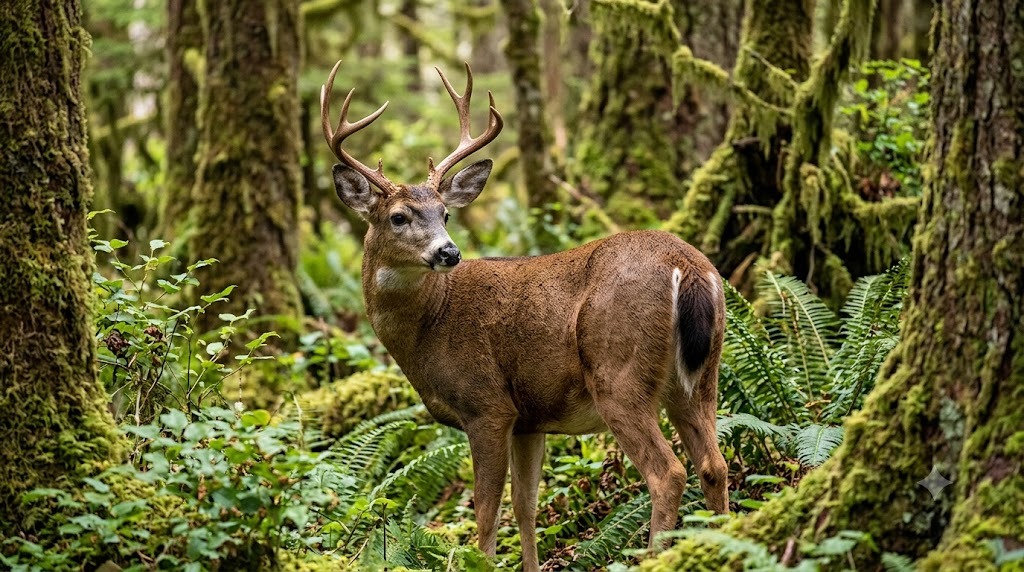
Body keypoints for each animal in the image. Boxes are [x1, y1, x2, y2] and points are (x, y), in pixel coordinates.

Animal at [320, 60, 729, 571]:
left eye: (445, 214)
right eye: (398, 216)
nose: (449, 252)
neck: (431, 324)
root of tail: (687, 265)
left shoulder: (487, 405)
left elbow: (486, 514)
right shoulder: (530, 418)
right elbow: (525, 506)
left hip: (618, 372)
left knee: (668, 472)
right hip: (701, 373)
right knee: (714, 464)